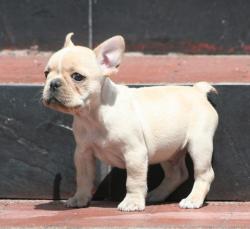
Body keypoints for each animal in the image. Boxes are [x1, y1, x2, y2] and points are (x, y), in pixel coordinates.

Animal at [43, 33, 219, 212]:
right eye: (46, 73)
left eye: (77, 77)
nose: (53, 83)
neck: (93, 115)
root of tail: (198, 91)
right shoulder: (83, 153)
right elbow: (83, 178)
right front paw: (79, 198)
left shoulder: (135, 153)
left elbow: (134, 180)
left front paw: (132, 202)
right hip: (169, 149)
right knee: (177, 174)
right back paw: (157, 195)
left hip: (199, 144)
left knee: (204, 173)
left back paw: (193, 199)